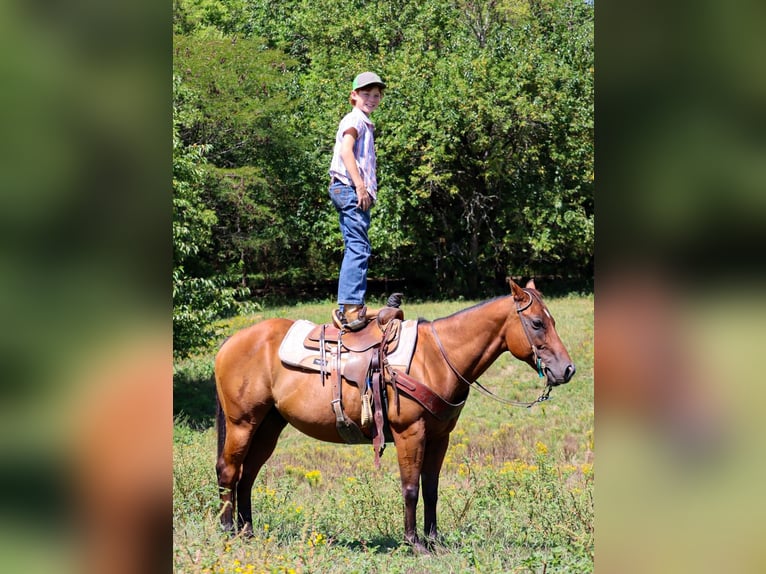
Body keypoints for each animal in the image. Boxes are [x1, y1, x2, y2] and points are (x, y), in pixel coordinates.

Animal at [214, 278, 575, 552]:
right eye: (537, 323)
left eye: (554, 321)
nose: (567, 370)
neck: (436, 358)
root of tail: (230, 341)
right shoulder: (409, 433)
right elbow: (411, 487)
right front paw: (414, 542)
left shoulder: (439, 437)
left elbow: (431, 488)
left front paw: (434, 540)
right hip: (242, 423)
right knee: (229, 470)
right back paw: (229, 531)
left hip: (269, 426)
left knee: (248, 475)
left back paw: (248, 532)